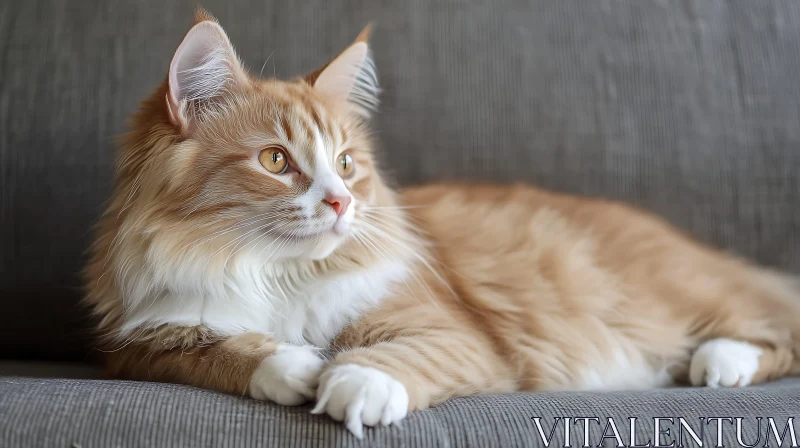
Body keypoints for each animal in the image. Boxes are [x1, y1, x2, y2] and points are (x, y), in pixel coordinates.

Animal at [86, 9, 800, 438]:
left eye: (346, 164)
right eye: (275, 161)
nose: (341, 203)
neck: (273, 274)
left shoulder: (451, 330)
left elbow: (396, 357)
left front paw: (355, 382)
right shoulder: (140, 343)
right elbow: (224, 350)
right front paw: (297, 366)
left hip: (678, 300)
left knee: (777, 329)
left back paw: (720, 362)